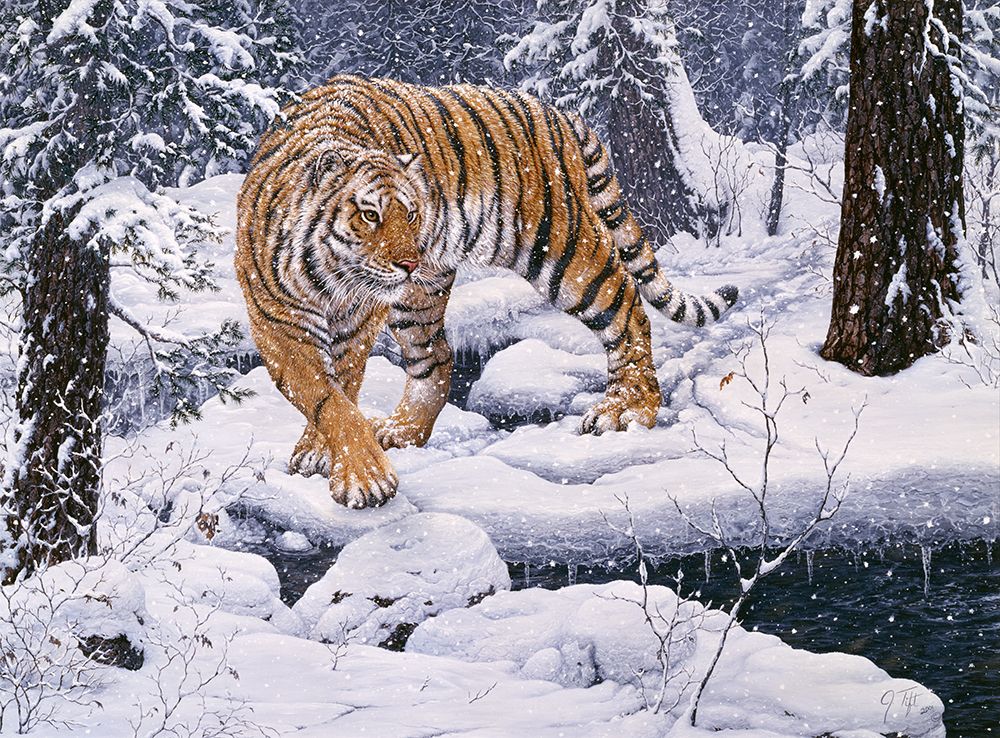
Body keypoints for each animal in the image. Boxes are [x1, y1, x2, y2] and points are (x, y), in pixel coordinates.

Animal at [235, 75, 738, 509]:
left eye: (411, 213)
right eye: (370, 215)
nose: (410, 263)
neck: (331, 273)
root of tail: (554, 110)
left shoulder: (359, 316)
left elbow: (340, 385)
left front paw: (356, 474)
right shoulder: (277, 322)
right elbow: (325, 395)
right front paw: (334, 458)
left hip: (563, 247)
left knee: (627, 305)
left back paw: (626, 411)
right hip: (420, 302)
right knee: (436, 358)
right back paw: (401, 430)